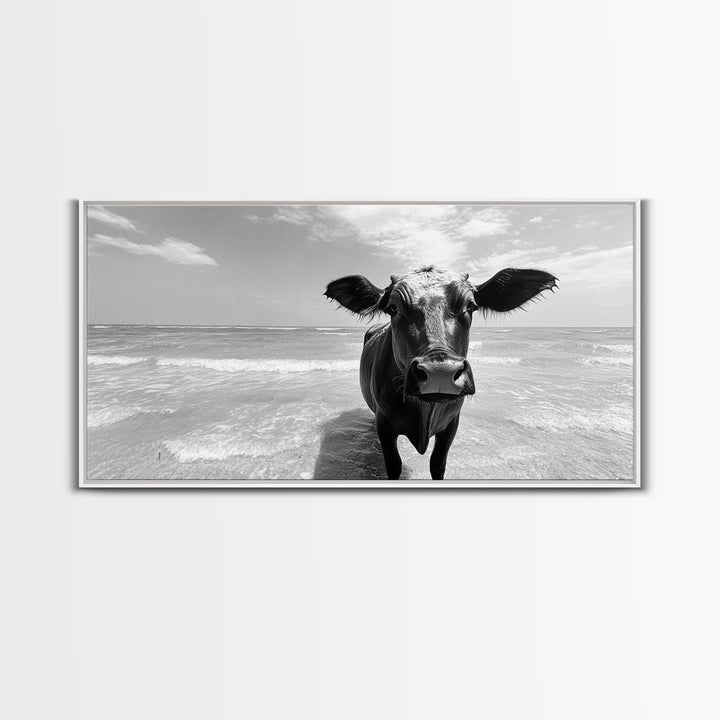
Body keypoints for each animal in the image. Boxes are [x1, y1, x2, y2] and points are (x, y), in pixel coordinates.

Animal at [324, 266, 557, 480]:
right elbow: (394, 465)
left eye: (470, 306)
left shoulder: (451, 425)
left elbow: (437, 464)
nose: (440, 372)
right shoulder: (385, 424)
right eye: (393, 307)